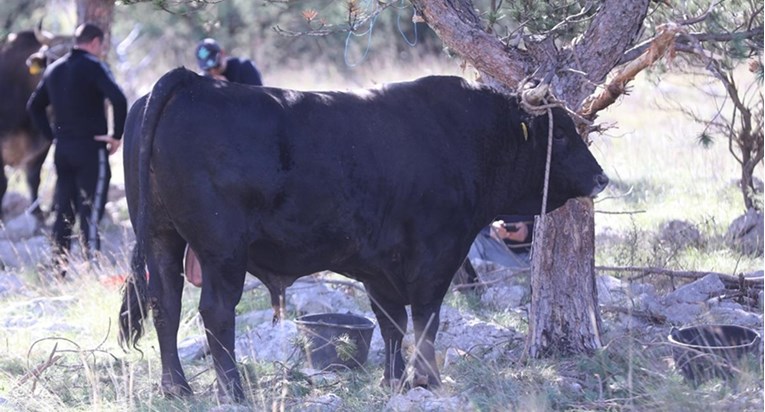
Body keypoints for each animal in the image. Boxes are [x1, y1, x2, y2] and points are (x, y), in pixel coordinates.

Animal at [121, 68, 608, 402]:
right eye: (560, 135)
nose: (601, 178)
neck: (465, 136)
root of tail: (192, 82)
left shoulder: (380, 264)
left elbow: (391, 321)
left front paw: (395, 378)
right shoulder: (439, 252)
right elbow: (426, 317)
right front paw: (426, 379)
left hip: (163, 237)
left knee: (165, 305)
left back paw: (176, 387)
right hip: (222, 251)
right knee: (216, 312)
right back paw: (233, 390)